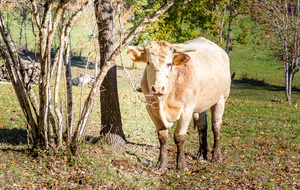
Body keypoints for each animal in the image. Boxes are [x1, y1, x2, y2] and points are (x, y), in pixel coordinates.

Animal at [126, 37, 230, 171]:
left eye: (169, 64)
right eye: (148, 62)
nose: (158, 88)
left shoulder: (187, 109)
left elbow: (179, 137)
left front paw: (181, 165)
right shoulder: (151, 109)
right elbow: (162, 136)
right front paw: (161, 164)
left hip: (221, 99)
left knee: (216, 126)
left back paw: (216, 156)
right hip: (200, 104)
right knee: (202, 126)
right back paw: (201, 154)